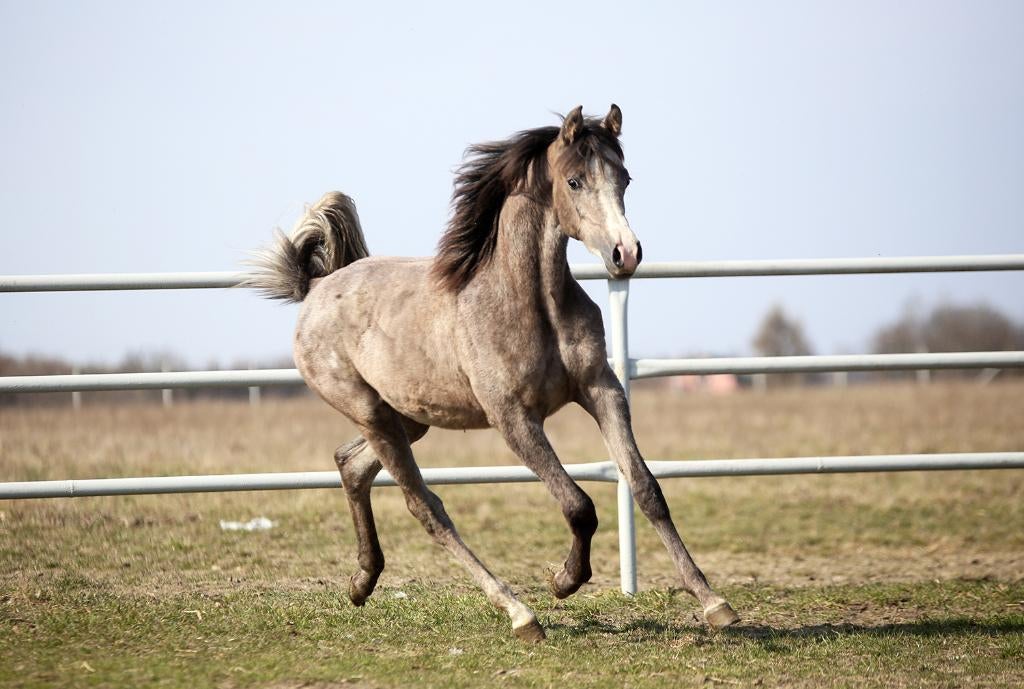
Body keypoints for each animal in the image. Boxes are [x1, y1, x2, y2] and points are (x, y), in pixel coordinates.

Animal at [245, 105, 739, 641]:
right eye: (575, 180)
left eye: (624, 178)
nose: (625, 254)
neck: (532, 303)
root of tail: (315, 288)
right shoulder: (513, 418)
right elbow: (577, 504)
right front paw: (563, 581)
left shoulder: (601, 390)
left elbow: (646, 489)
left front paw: (714, 603)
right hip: (371, 413)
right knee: (426, 508)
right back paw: (519, 613)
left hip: (408, 419)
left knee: (351, 465)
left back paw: (362, 582)